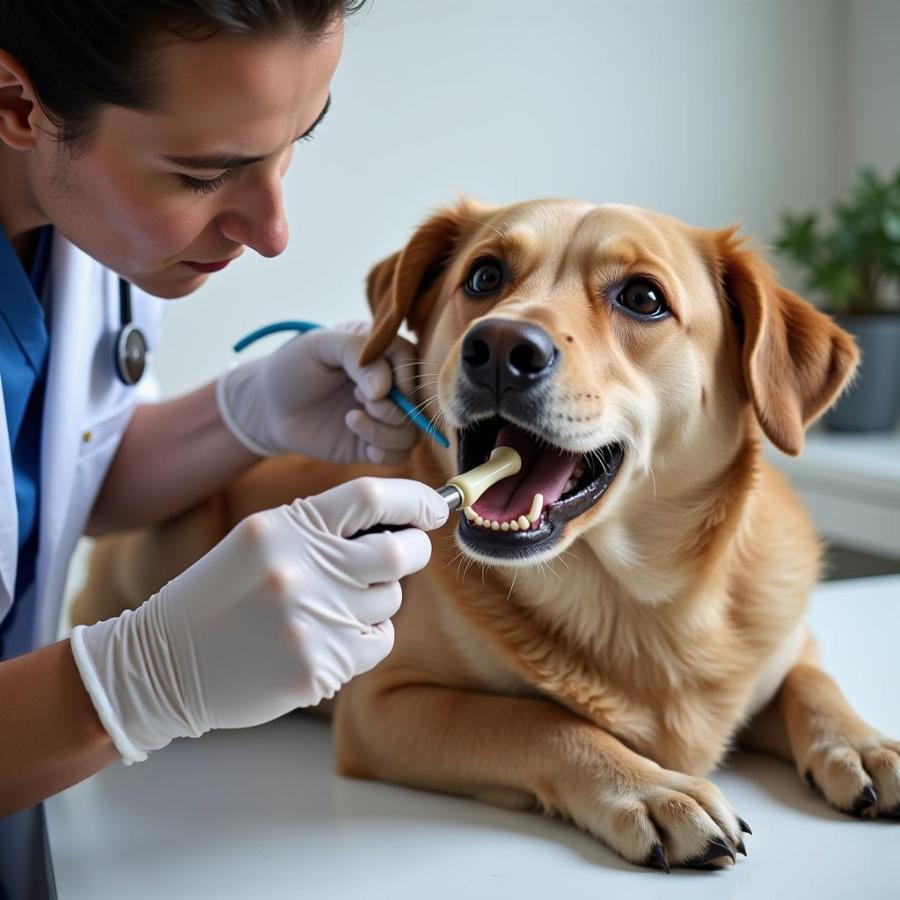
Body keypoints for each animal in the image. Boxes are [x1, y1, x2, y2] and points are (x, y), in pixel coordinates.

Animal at [72, 199, 900, 872]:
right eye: (484, 275)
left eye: (642, 298)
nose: (501, 346)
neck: (638, 606)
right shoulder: (384, 708)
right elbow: (538, 719)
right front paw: (651, 789)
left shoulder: (787, 642)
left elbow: (812, 681)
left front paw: (862, 745)